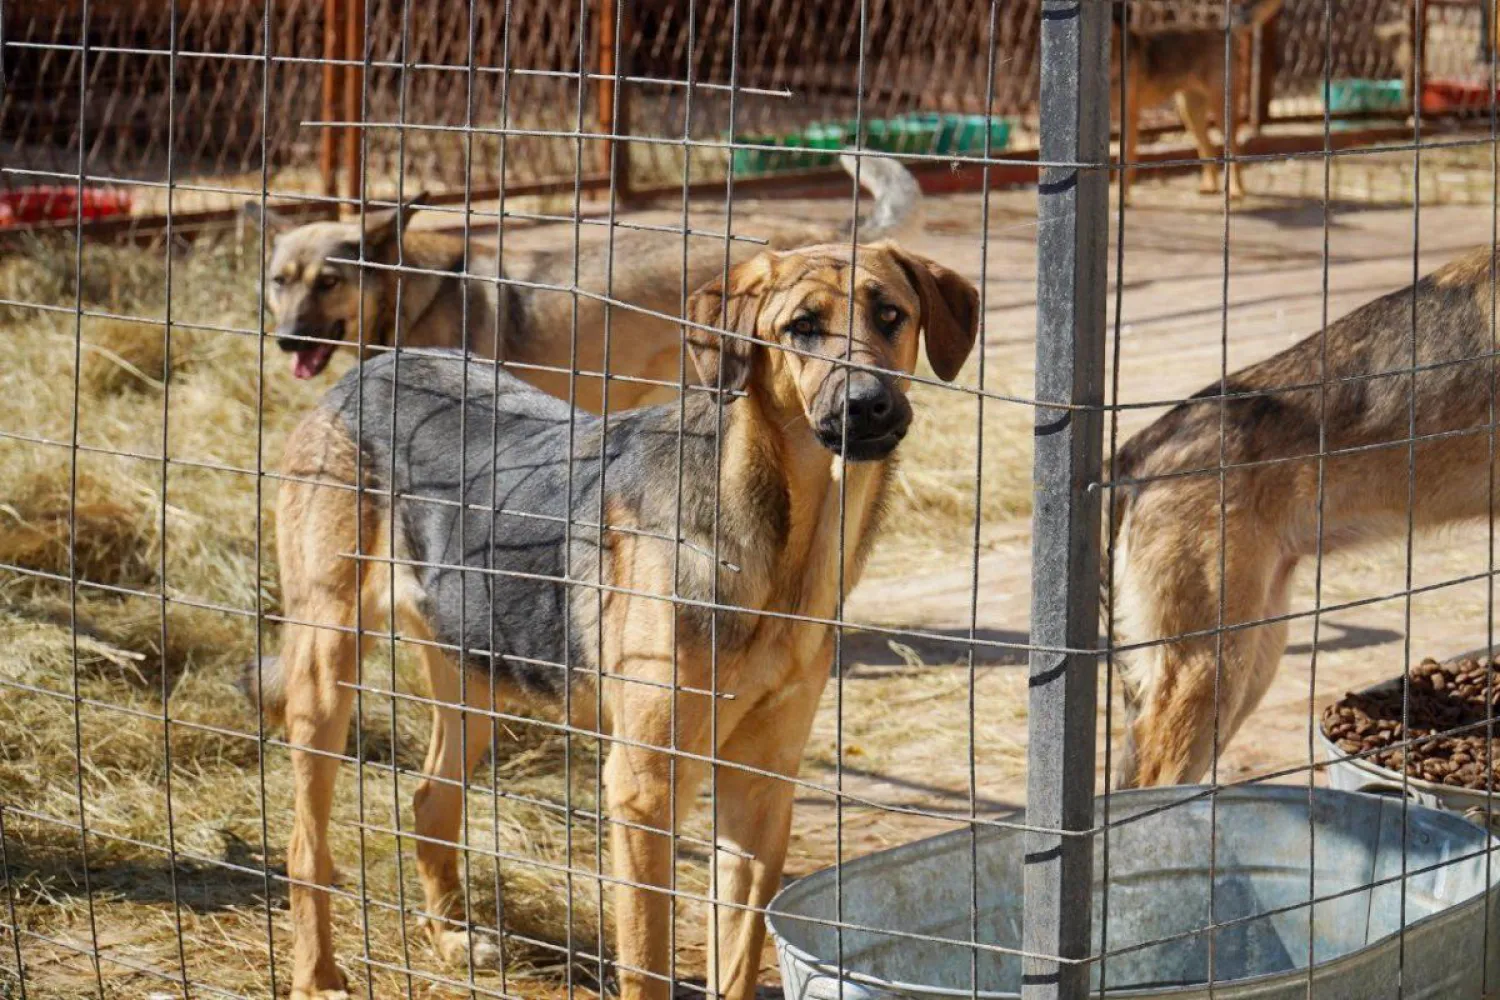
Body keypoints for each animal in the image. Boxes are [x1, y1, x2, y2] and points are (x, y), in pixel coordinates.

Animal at [264, 238, 978, 995]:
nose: (867, 406)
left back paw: (452, 939)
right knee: (305, 843)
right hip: (326, 668)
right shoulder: (644, 789)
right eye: (802, 327)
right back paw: (316, 975)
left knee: (431, 799)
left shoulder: (760, 790)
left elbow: (737, 956)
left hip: (475, 673)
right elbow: (646, 964)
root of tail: (368, 371)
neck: (786, 548)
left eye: (890, 314)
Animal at [1122, 0, 1284, 203]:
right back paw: (1210, 185)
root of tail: (1221, 30)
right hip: (1190, 113)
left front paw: (1124, 196)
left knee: (1233, 151)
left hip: (1221, 111)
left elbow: (1126, 163)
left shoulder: (1129, 118)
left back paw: (1236, 190)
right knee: (1208, 148)